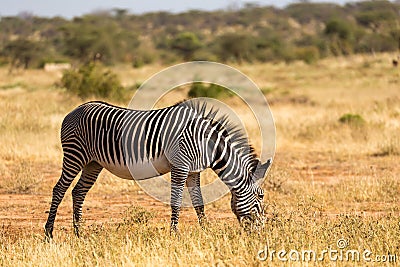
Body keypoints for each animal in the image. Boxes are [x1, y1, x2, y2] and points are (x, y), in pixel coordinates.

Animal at [43, 101, 272, 240]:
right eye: (261, 196)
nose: (262, 231)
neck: (207, 144)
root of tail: (74, 110)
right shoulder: (180, 166)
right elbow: (176, 201)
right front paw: (175, 234)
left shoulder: (193, 171)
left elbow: (198, 203)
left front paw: (206, 230)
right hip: (75, 155)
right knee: (59, 189)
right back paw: (49, 233)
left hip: (93, 163)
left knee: (78, 192)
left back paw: (79, 233)